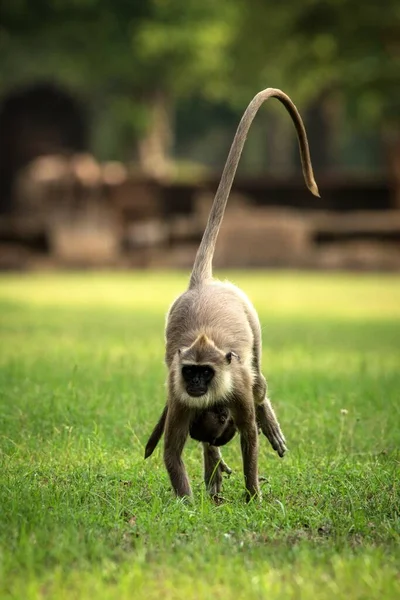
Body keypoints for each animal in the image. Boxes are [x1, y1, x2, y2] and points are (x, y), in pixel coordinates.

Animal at [144, 88, 318, 502]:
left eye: (205, 372)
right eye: (191, 373)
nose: (196, 384)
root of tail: (201, 284)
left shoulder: (234, 387)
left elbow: (249, 435)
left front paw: (252, 496)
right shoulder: (177, 392)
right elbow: (173, 450)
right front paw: (190, 501)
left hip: (248, 314)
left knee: (259, 380)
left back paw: (265, 418)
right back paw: (214, 470)